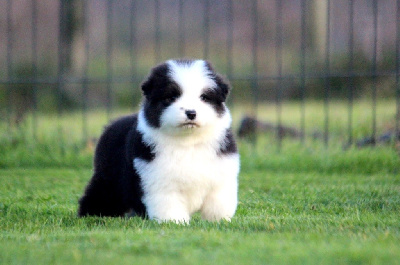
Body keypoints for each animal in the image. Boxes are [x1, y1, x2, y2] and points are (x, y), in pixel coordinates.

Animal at [78, 58, 241, 222]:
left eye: (204, 97)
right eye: (171, 97)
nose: (191, 113)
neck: (187, 142)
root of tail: (110, 126)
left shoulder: (220, 177)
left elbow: (218, 204)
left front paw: (219, 221)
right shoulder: (160, 180)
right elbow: (169, 205)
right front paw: (174, 222)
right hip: (109, 180)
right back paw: (92, 215)